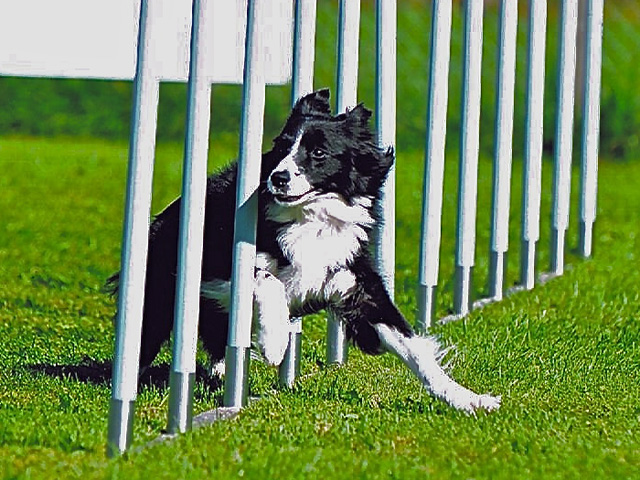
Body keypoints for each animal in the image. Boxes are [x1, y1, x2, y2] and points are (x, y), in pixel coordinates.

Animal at [109, 89, 500, 413]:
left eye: (319, 153)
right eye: (282, 148)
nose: (278, 178)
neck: (312, 218)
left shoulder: (356, 284)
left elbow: (412, 346)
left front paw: (468, 398)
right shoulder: (214, 264)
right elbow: (267, 280)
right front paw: (274, 342)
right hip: (162, 287)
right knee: (148, 336)